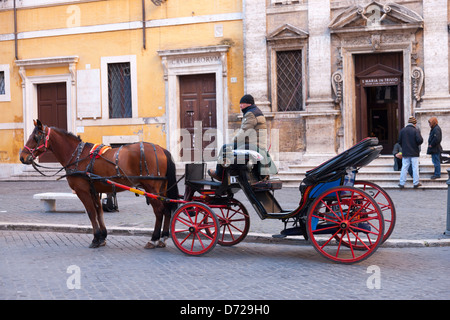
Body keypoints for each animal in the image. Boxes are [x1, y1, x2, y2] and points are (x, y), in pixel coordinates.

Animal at [19, 120, 178, 248]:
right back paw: (163, 237)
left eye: (35, 137)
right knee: (167, 209)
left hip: (151, 188)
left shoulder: (82, 191)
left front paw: (95, 239)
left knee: (159, 210)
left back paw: (154, 239)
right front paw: (102, 237)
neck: (77, 155)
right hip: (162, 188)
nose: (22, 157)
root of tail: (161, 149)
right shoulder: (94, 190)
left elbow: (91, 213)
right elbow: (99, 211)